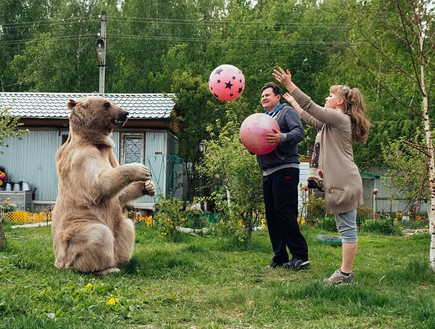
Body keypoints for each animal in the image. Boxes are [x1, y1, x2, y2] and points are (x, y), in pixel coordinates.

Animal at [52, 95, 156, 274]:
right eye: (107, 104)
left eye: (112, 102)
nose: (125, 113)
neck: (96, 142)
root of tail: (59, 261)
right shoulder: (83, 157)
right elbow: (98, 184)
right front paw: (140, 168)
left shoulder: (110, 155)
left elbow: (119, 195)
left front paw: (148, 186)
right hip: (74, 229)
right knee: (98, 234)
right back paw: (104, 268)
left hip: (115, 222)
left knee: (126, 227)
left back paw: (121, 261)